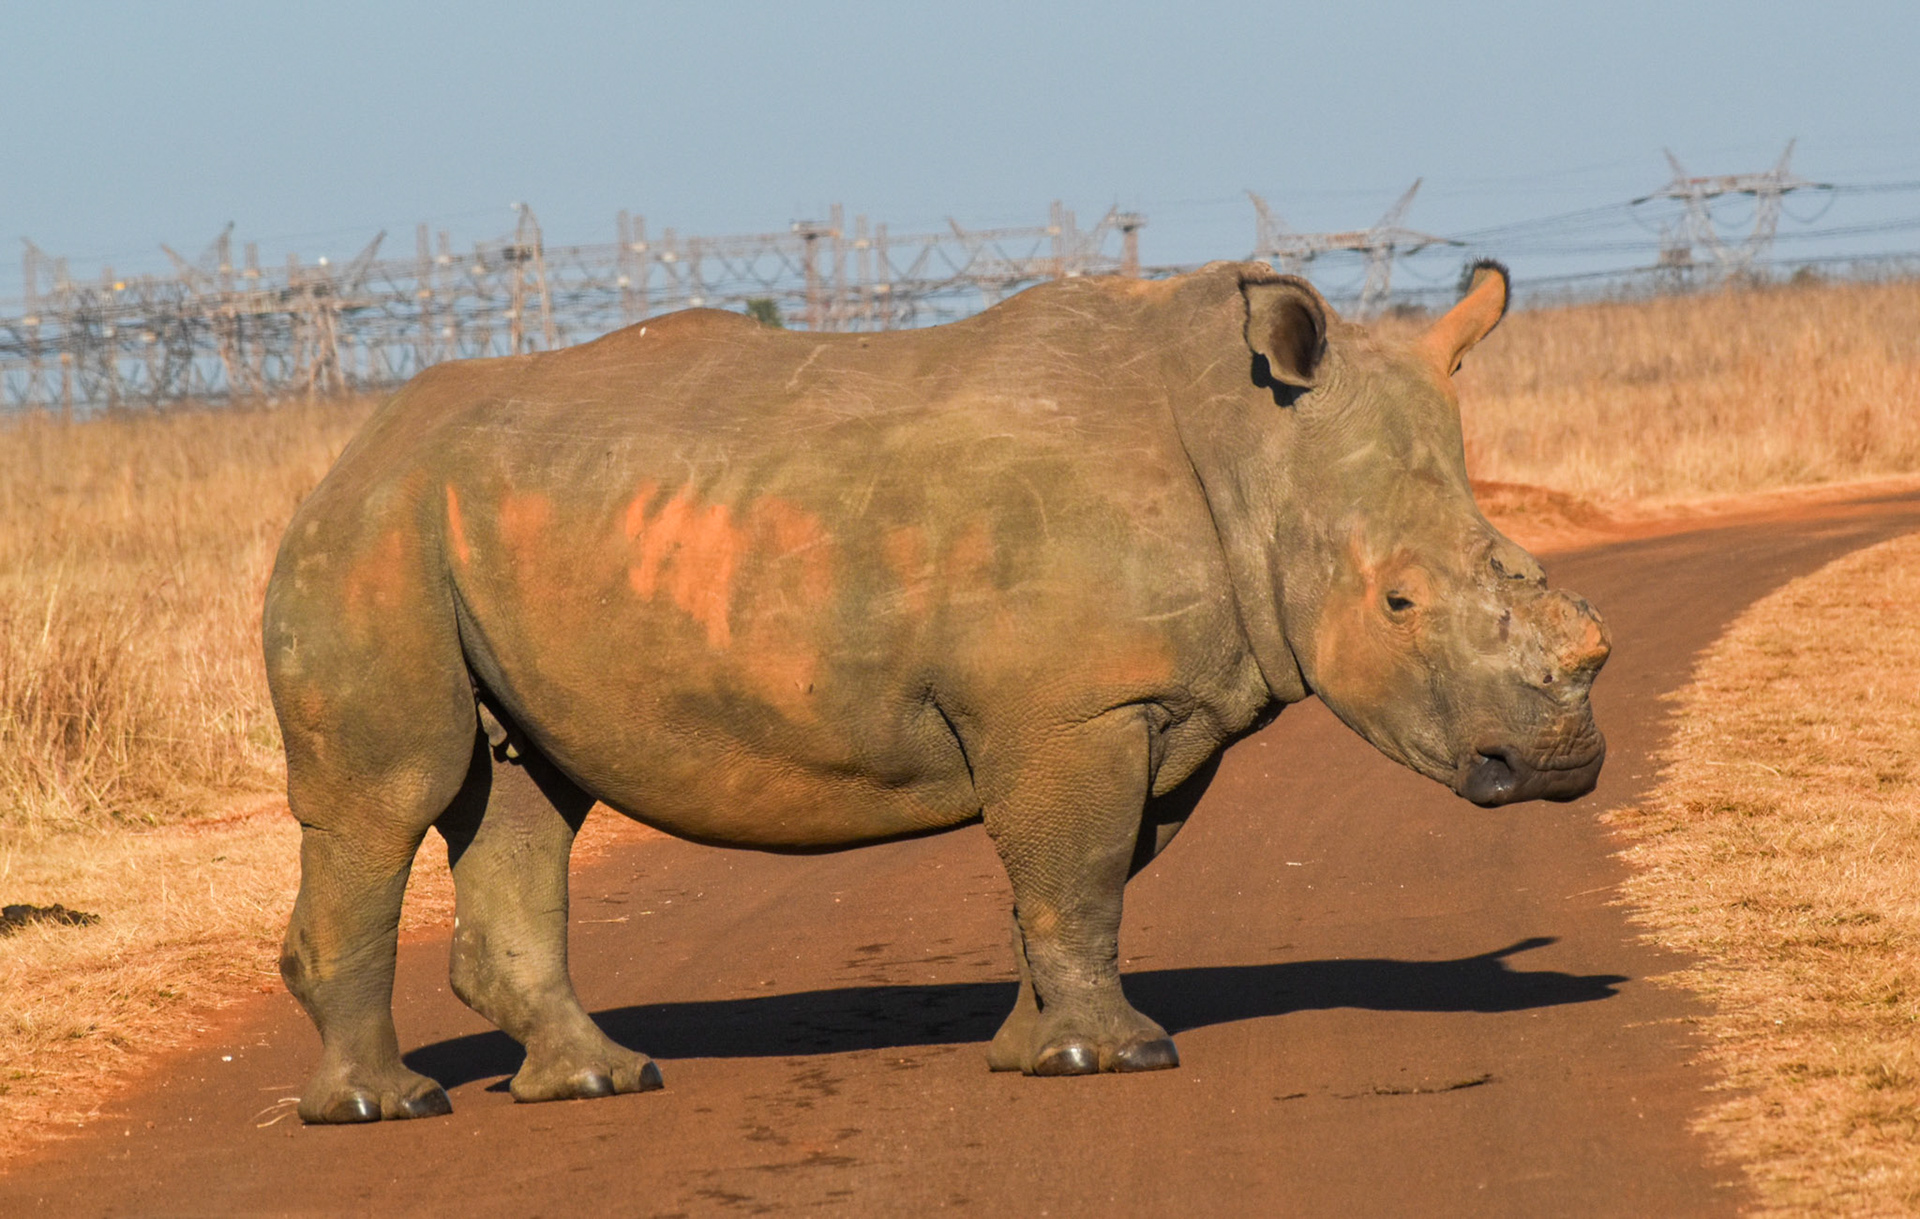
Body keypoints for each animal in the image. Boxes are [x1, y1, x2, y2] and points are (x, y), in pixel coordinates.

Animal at [264, 259, 1608, 1123]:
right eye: (1397, 603)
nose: (1556, 764)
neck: (1250, 446)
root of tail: (346, 452)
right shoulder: (1071, 710)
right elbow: (1075, 874)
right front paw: (1113, 1060)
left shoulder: (1142, 710)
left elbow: (1078, 881)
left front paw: (1033, 1051)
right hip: (375, 532)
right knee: (395, 794)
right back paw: (389, 1108)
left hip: (472, 523)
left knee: (524, 792)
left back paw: (598, 1079)